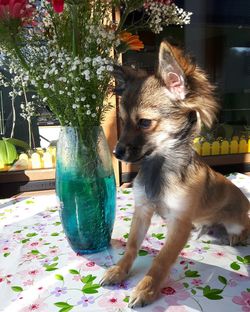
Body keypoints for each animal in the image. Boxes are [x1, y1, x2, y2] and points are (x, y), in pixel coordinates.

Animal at [100, 40, 250, 308]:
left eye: (145, 123)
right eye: (123, 122)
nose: (116, 151)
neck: (159, 166)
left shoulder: (179, 222)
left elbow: (162, 258)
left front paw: (146, 289)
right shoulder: (143, 210)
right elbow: (131, 245)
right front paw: (119, 270)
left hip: (235, 221)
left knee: (245, 227)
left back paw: (239, 237)